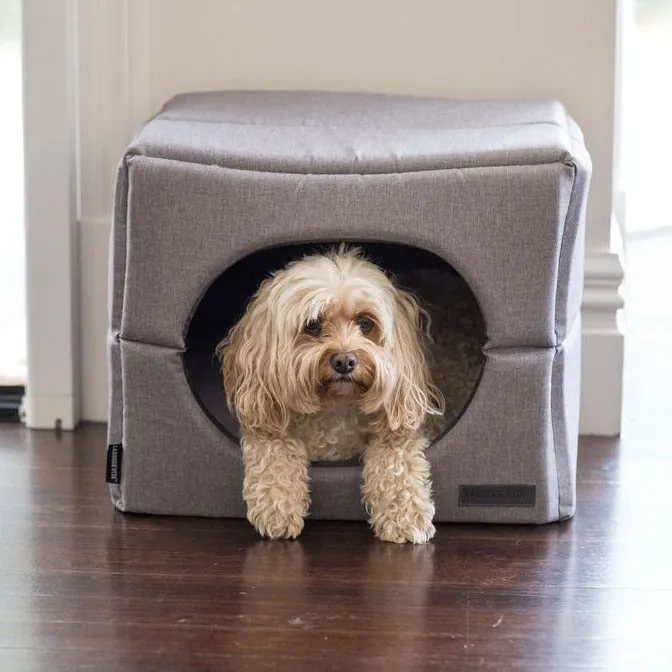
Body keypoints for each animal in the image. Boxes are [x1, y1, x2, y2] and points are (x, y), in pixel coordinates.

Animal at [217, 244, 446, 544]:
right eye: (312, 324)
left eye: (365, 323)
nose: (345, 361)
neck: (335, 408)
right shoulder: (265, 414)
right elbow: (274, 448)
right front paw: (277, 507)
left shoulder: (399, 418)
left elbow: (396, 457)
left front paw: (405, 515)